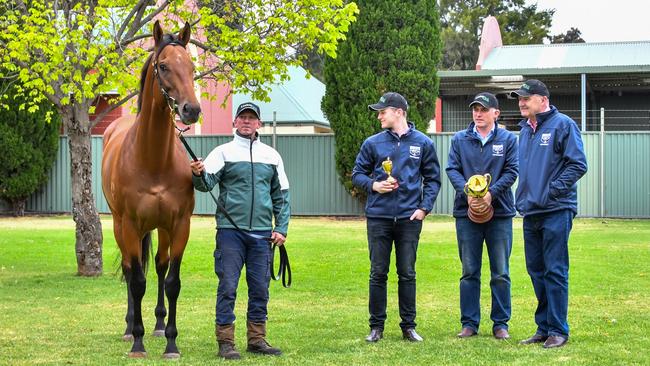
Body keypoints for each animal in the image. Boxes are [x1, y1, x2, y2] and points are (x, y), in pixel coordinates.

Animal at [101, 20, 200, 358]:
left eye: (192, 67)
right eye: (164, 66)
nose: (191, 110)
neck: (153, 159)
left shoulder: (179, 225)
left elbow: (172, 281)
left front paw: (170, 341)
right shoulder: (131, 225)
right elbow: (137, 282)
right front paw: (138, 341)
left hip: (160, 229)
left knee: (158, 266)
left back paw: (157, 325)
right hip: (122, 227)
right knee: (131, 270)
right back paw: (130, 328)